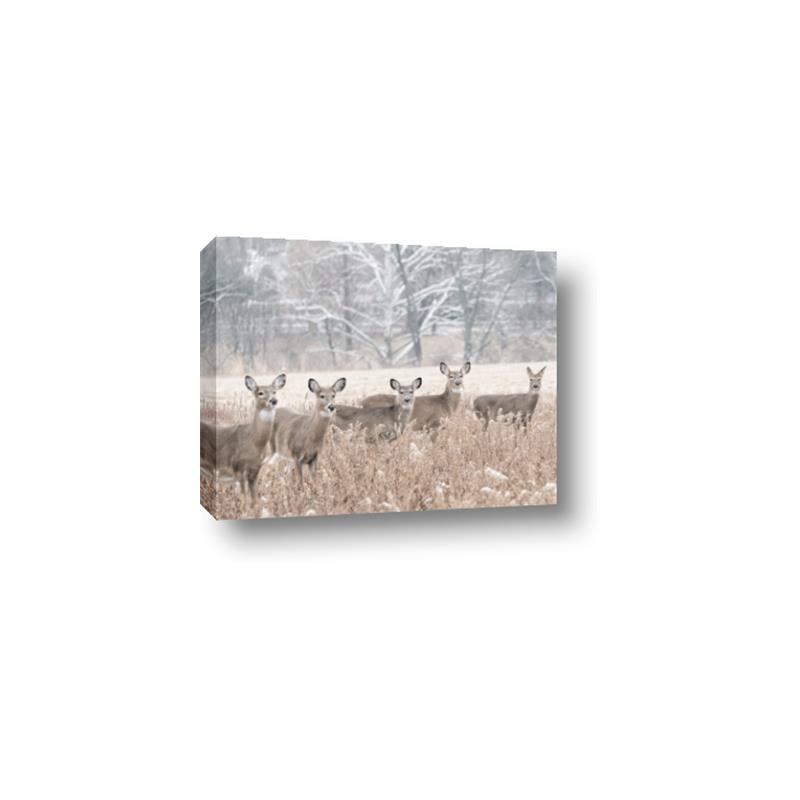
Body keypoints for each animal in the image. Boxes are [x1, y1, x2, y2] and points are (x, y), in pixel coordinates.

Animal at [200, 373, 287, 512]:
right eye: (260, 393)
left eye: (274, 391)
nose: (273, 400)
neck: (254, 441)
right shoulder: (238, 468)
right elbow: (243, 498)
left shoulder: (255, 470)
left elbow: (255, 500)